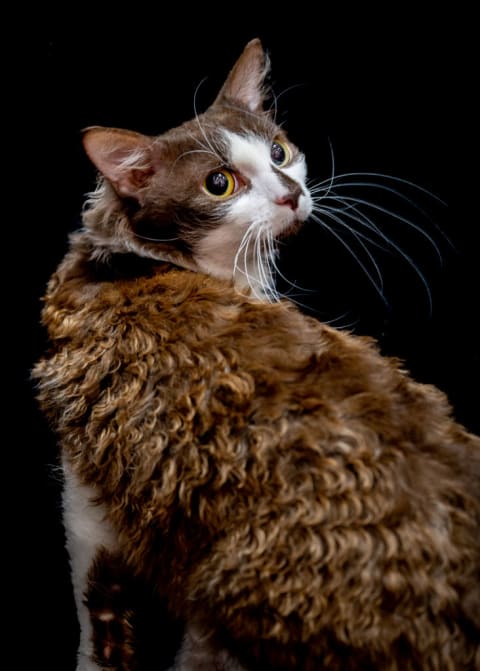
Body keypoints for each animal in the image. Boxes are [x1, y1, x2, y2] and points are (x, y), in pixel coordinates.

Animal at [33, 38, 480, 671]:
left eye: (279, 152)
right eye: (219, 183)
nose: (291, 194)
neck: (129, 262)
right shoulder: (89, 499)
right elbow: (102, 634)